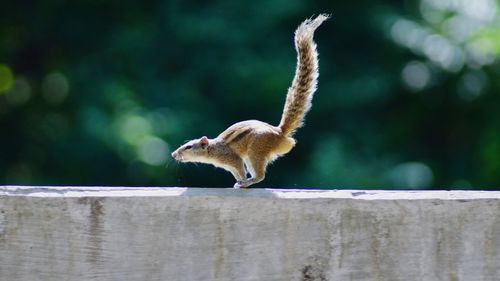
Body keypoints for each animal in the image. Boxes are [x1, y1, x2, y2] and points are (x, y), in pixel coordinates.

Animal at [170, 14, 330, 187]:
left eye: (188, 147)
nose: (173, 154)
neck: (214, 149)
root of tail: (280, 133)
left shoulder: (233, 159)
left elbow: (239, 170)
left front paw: (241, 181)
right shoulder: (230, 165)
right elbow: (236, 173)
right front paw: (237, 181)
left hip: (255, 151)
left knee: (260, 175)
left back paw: (247, 182)